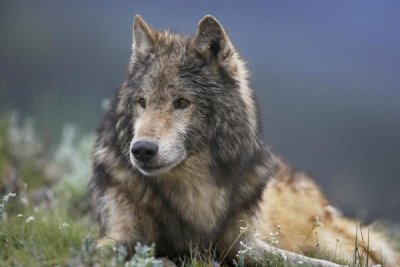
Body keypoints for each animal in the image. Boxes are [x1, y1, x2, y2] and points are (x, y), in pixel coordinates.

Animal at [89, 15, 398, 267]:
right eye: (142, 102)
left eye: (182, 102)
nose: (141, 150)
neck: (193, 192)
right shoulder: (124, 232)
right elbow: (99, 249)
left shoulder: (244, 245)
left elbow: (308, 262)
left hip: (326, 240)